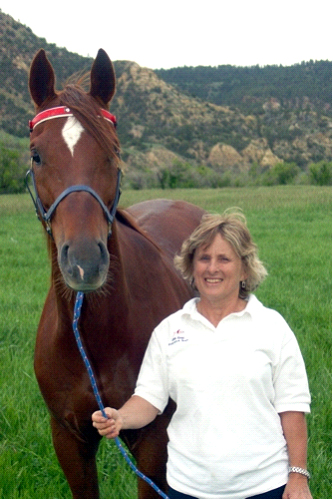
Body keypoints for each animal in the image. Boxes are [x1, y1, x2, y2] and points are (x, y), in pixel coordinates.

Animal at [27, 47, 205, 500]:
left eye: (113, 150)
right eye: (36, 154)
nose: (84, 261)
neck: (96, 335)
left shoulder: (154, 440)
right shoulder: (69, 438)